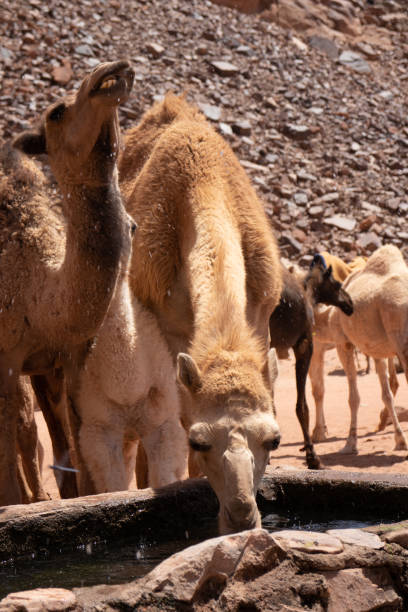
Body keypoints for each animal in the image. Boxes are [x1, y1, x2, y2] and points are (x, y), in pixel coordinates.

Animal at [119, 92, 282, 536]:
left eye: (274, 440)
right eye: (199, 441)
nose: (242, 518)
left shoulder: (260, 319)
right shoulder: (171, 333)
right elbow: (176, 416)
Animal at [310, 245, 406, 454]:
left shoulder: (343, 343)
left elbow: (353, 397)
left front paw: (350, 443)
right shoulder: (375, 348)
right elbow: (386, 394)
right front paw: (400, 439)